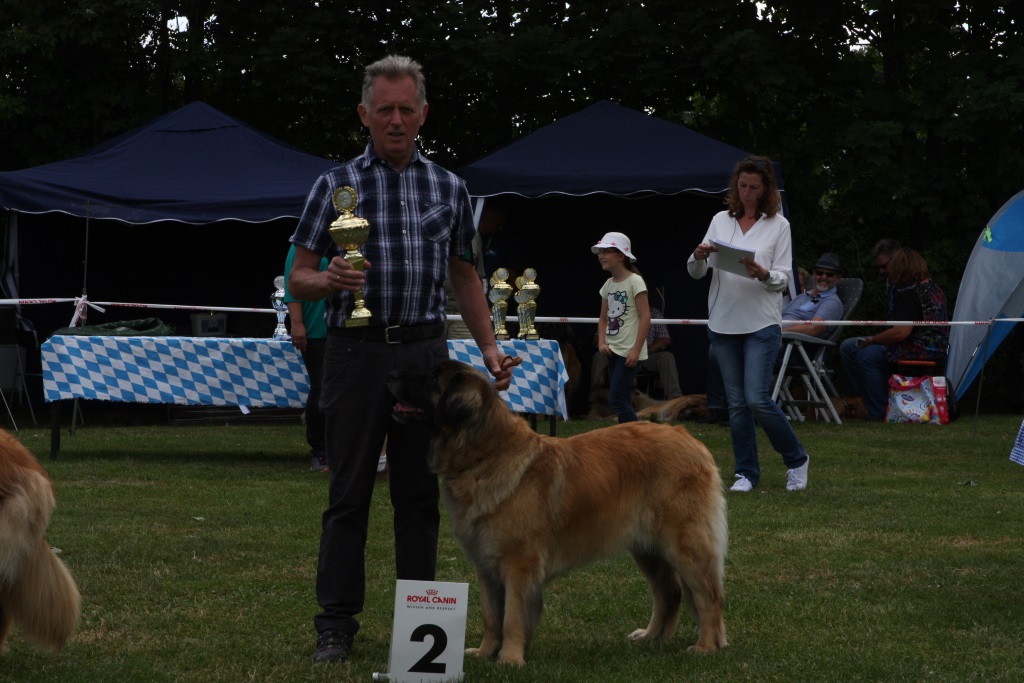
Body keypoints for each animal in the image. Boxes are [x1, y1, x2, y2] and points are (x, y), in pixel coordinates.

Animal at [385, 360, 729, 663]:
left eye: (432, 378)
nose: (392, 374)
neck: (487, 455)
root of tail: (686, 436)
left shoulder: (519, 565)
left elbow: (512, 617)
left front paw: (510, 659)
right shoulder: (486, 564)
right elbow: (491, 616)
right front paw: (484, 653)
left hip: (684, 544)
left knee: (708, 595)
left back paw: (707, 646)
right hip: (647, 548)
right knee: (669, 592)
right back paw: (650, 637)